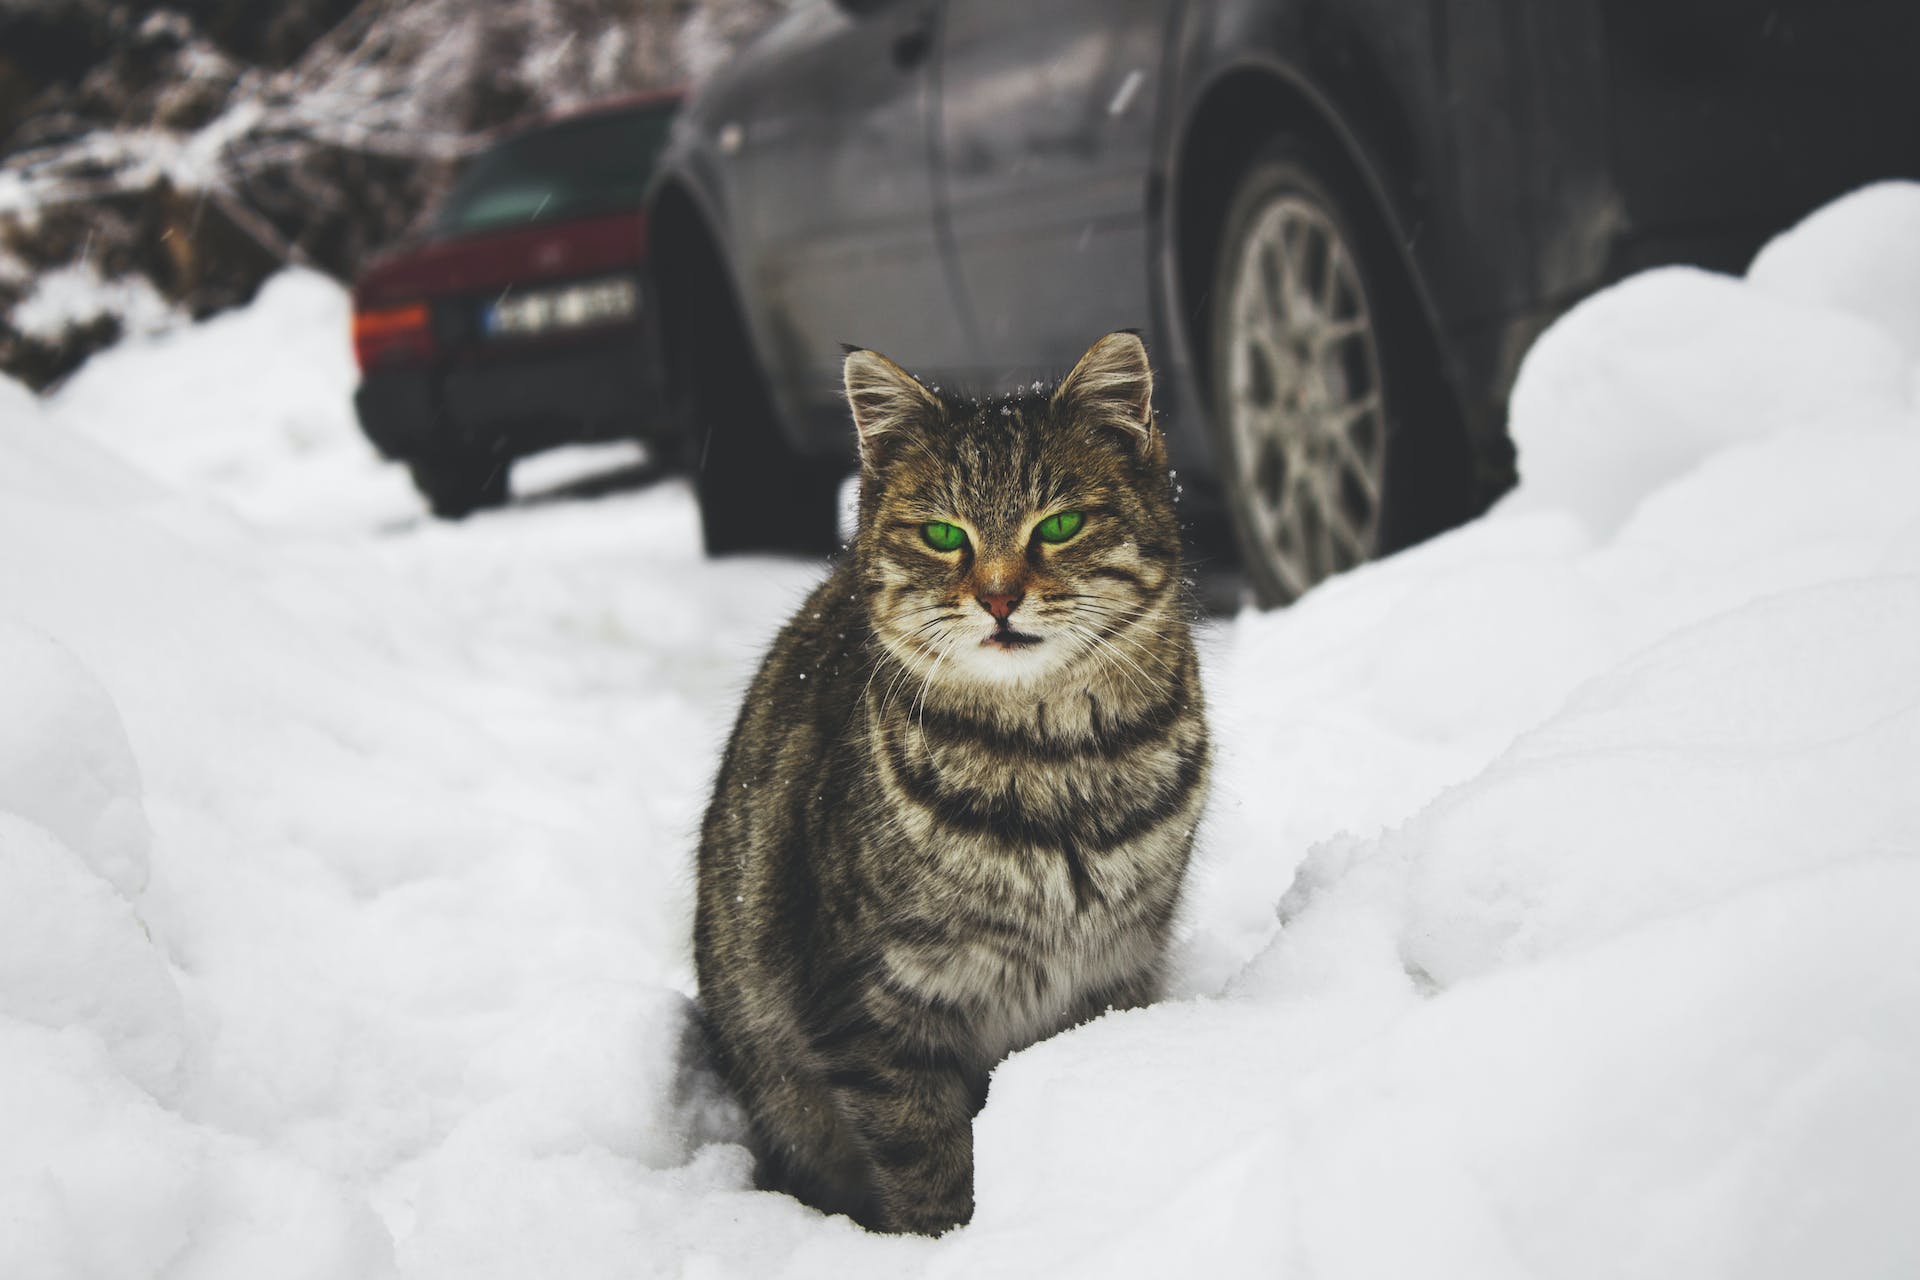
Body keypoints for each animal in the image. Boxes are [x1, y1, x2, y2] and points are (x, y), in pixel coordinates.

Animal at [695, 335, 1213, 1235]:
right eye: (943, 535)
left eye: (1060, 524)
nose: (999, 597)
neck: (1057, 765)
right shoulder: (874, 1008)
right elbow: (927, 1160)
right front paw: (947, 1244)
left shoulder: (1115, 969)